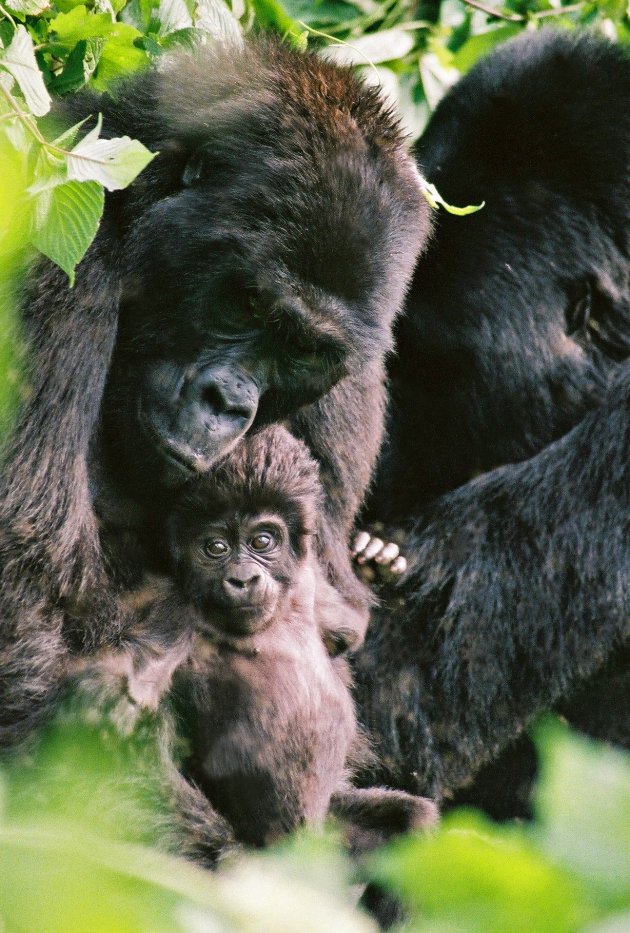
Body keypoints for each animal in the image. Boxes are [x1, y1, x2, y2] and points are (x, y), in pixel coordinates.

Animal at [0, 36, 430, 748]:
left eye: (302, 349)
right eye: (248, 303)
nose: (229, 403)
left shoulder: (358, 364)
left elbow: (335, 619)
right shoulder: (52, 229)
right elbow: (29, 592)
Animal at [169, 426, 440, 848]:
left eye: (262, 541)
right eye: (216, 547)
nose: (243, 579)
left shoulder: (307, 575)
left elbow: (347, 631)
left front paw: (371, 568)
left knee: (409, 819)